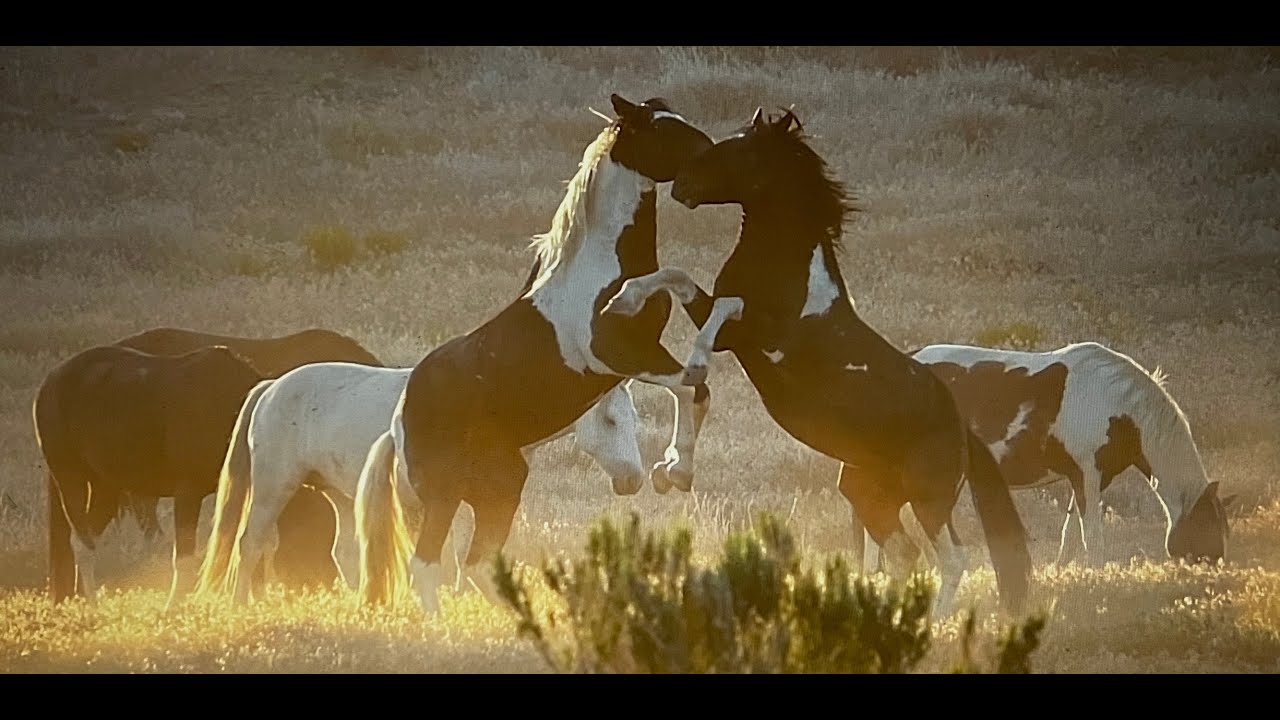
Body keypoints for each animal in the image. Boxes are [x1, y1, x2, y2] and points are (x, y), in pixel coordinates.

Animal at [33, 344, 267, 606]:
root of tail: (50, 380)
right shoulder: (188, 491)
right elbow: (184, 555)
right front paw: (173, 606)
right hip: (70, 478)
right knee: (82, 541)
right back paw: (93, 604)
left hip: (106, 488)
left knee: (87, 538)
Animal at [191, 362, 645, 603]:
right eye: (610, 420)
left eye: (635, 420)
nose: (634, 480)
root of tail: (272, 387)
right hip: (273, 487)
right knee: (250, 543)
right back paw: (241, 603)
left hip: (342, 496)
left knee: (347, 552)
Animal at [354, 94, 715, 612]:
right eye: (665, 133)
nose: (712, 162)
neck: (597, 270)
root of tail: (398, 425)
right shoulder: (620, 354)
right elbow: (693, 387)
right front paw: (675, 470)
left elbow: (679, 284)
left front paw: (669, 471)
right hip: (451, 494)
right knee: (429, 563)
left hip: (498, 486)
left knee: (476, 563)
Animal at [604, 107, 1033, 617]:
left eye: (741, 150)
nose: (681, 186)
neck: (788, 272)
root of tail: (961, 431)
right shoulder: (727, 325)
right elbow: (680, 277)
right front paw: (622, 302)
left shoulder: (759, 335)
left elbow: (722, 309)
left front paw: (694, 368)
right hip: (868, 493)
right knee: (904, 554)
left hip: (928, 495)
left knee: (951, 558)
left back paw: (935, 622)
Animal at [853, 341, 1234, 568]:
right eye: (1208, 525)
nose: (1215, 566)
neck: (1118, 409)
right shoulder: (1088, 475)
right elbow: (1091, 535)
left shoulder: (1086, 478)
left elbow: (1070, 531)